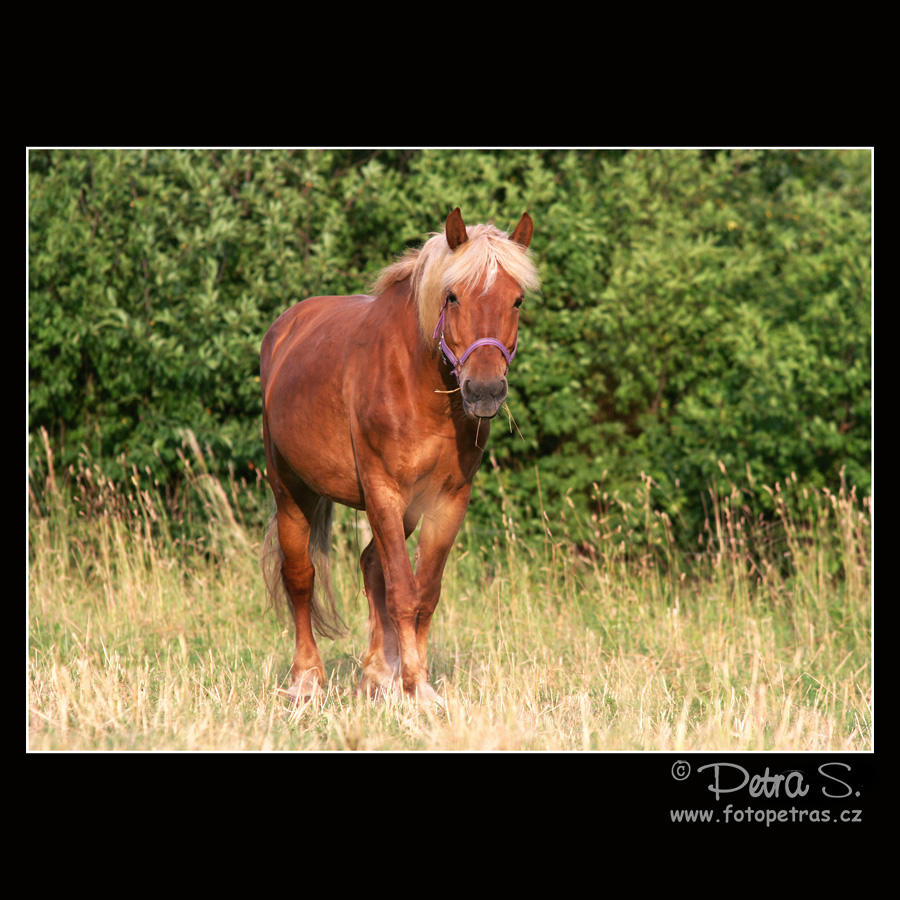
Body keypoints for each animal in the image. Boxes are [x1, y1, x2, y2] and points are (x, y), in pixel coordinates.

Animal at [262, 207, 540, 708]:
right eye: (452, 297)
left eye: (517, 301)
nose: (485, 391)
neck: (417, 384)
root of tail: (286, 327)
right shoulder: (383, 491)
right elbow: (403, 593)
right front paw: (417, 688)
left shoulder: (446, 500)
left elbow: (423, 592)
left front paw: (411, 682)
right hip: (291, 489)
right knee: (300, 575)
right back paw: (306, 680)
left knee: (371, 565)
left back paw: (374, 676)